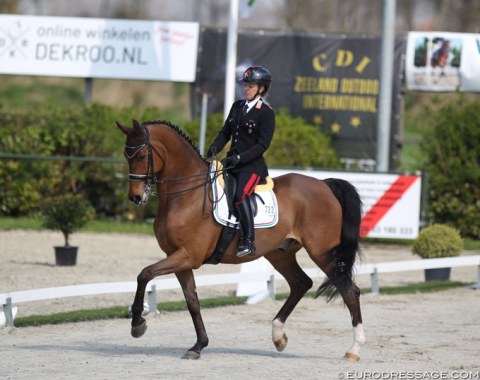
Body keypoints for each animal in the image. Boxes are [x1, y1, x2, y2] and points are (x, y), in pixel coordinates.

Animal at [116, 120, 364, 360]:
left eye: (141, 156)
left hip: (322, 253)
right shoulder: (178, 258)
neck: (186, 194)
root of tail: (324, 185)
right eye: (126, 155)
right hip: (280, 254)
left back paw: (354, 349)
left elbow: (144, 274)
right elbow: (192, 301)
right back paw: (278, 336)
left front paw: (137, 325)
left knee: (350, 290)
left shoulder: (188, 256)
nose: (135, 197)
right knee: (301, 283)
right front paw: (198, 346)